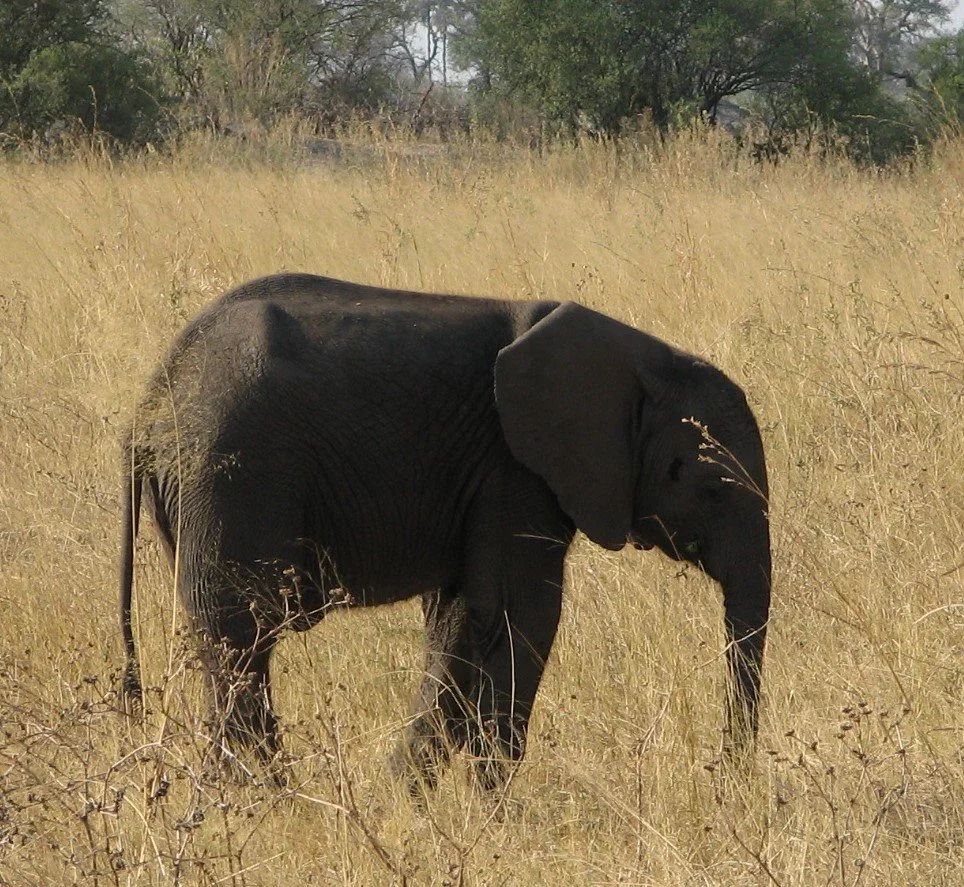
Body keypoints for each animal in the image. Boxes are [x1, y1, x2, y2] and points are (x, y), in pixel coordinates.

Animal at [118, 273, 771, 790]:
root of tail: (147, 402)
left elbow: (457, 618)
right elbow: (521, 615)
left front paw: (411, 796)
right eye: (709, 486)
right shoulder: (514, 473)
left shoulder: (484, 481)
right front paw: (490, 804)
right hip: (233, 470)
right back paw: (267, 798)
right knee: (242, 631)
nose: (727, 781)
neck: (642, 360)